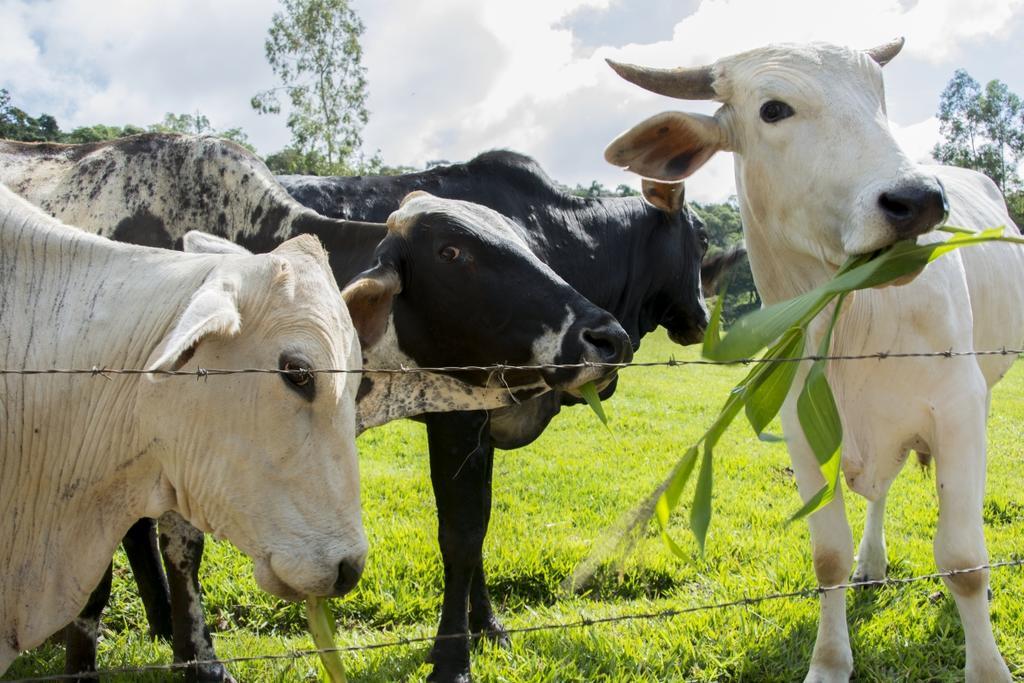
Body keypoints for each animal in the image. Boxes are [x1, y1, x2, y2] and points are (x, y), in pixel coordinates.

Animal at [602, 40, 1024, 679]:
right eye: (773, 109)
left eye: (879, 96)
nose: (919, 199)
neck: (856, 315)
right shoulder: (804, 427)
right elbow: (827, 558)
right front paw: (828, 662)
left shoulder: (959, 410)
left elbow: (963, 561)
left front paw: (989, 669)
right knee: (879, 493)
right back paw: (872, 563)